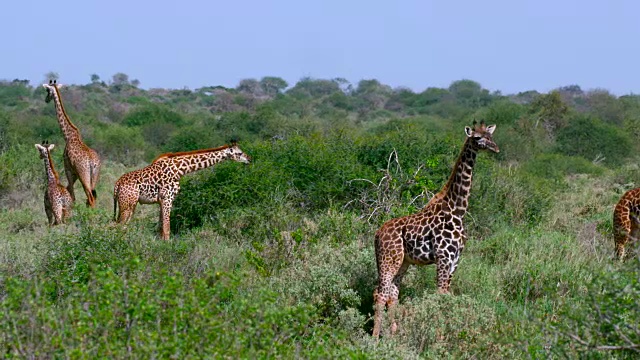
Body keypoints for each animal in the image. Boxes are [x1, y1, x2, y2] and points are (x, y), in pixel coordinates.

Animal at [115, 142, 252, 240]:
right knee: (119, 226)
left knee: (121, 225)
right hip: (127, 205)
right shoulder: (167, 199)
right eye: (240, 153)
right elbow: (167, 229)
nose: (249, 159)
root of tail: (117, 184)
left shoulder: (161, 201)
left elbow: (160, 229)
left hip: (130, 205)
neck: (179, 170)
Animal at [370, 120, 500, 338]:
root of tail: (377, 234)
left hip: (403, 261)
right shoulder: (443, 257)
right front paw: (439, 337)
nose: (495, 148)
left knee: (393, 293)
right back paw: (374, 338)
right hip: (389, 259)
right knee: (380, 293)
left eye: (489, 136)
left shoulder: (455, 259)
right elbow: (439, 295)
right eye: (477, 138)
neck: (458, 209)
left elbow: (446, 295)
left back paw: (392, 335)